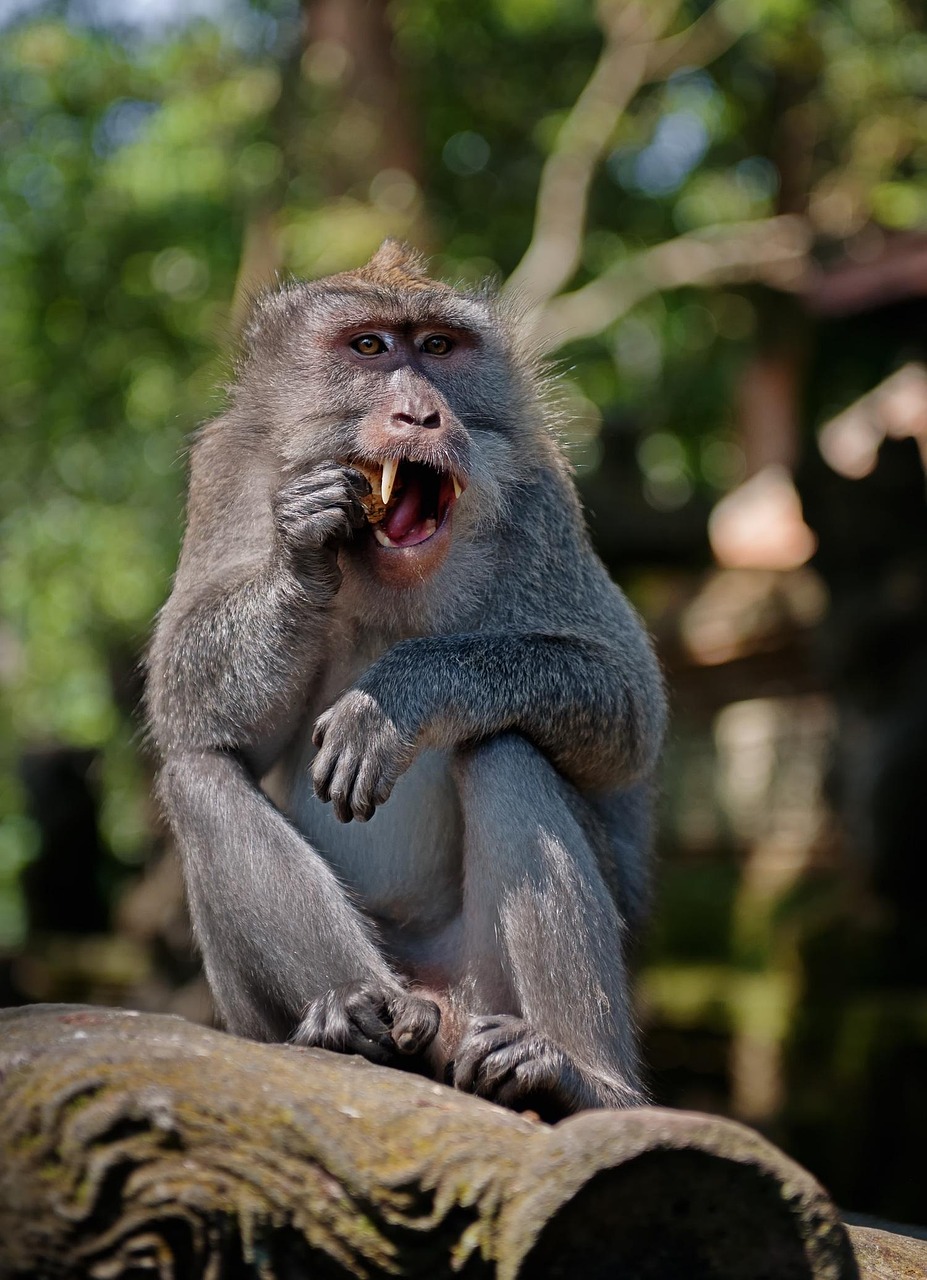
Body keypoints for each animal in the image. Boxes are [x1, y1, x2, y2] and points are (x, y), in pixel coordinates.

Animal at [146, 240, 666, 1120]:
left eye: (436, 348)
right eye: (369, 347)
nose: (421, 416)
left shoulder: (542, 502)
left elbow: (628, 712)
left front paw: (399, 697)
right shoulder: (225, 475)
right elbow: (193, 710)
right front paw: (302, 552)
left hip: (481, 986)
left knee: (504, 750)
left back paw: (577, 1079)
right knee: (197, 774)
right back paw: (360, 1017)